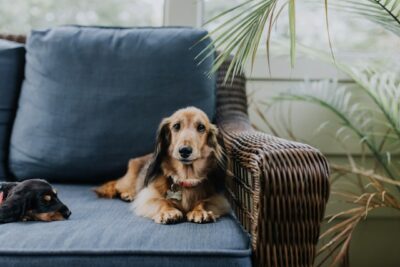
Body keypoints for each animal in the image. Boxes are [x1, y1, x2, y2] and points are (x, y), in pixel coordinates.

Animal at [94, 108, 231, 225]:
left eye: (201, 127)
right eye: (176, 126)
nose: (185, 150)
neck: (185, 179)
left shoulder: (217, 199)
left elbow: (204, 201)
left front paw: (200, 211)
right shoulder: (148, 196)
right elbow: (162, 201)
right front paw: (168, 212)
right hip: (128, 180)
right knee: (117, 185)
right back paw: (128, 194)